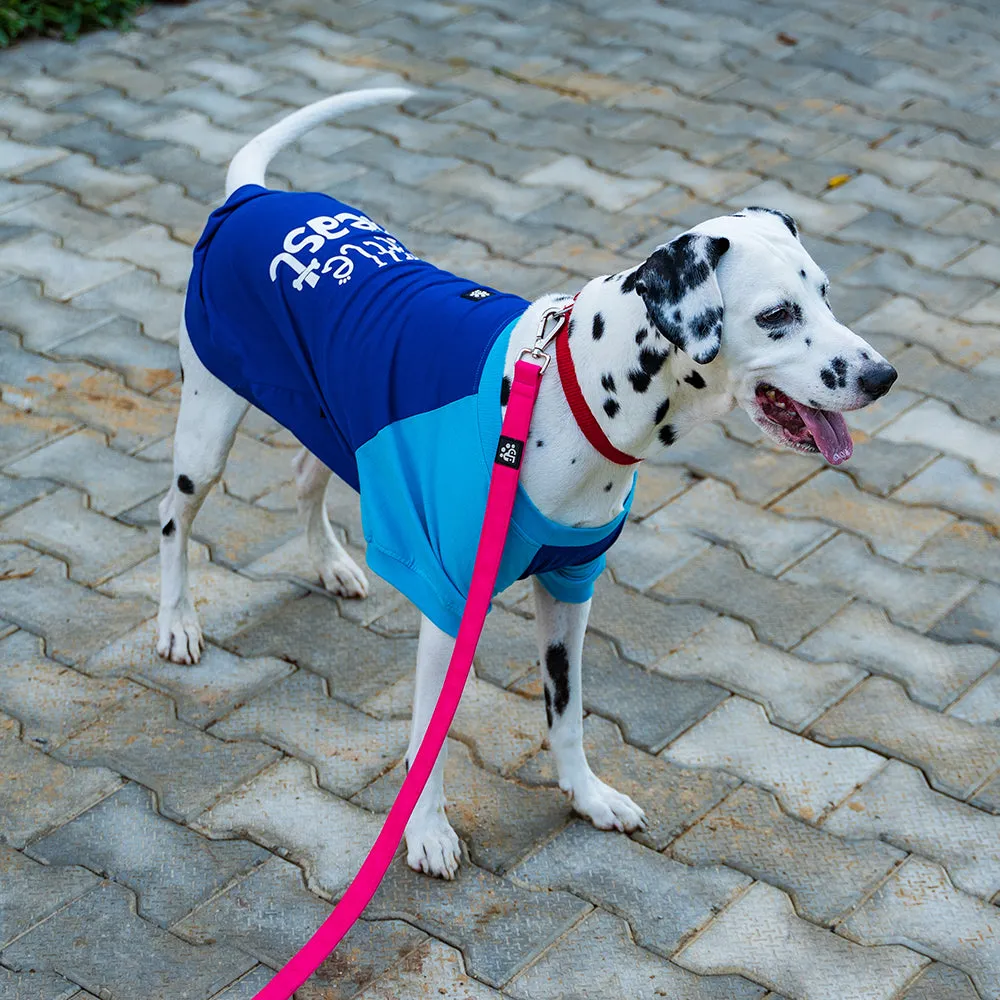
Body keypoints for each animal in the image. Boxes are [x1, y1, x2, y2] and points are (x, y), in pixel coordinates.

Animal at [158, 90, 900, 880]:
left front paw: (587, 796)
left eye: (826, 295)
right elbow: (430, 736)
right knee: (173, 517)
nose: (883, 376)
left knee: (304, 478)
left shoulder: (571, 587)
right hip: (207, 428)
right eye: (776, 315)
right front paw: (426, 831)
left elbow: (564, 713)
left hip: (331, 416)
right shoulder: (450, 601)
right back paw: (176, 622)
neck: (576, 392)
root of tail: (252, 196)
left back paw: (330, 564)